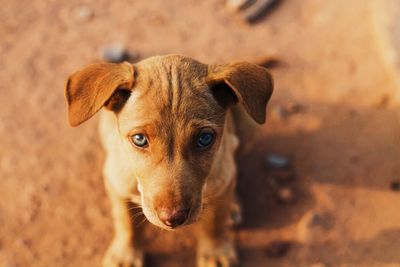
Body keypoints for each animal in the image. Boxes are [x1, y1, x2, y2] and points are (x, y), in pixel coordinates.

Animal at [65, 55, 272, 267]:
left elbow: (214, 223)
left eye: (205, 138)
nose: (173, 218)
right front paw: (126, 254)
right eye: (139, 139)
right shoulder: (116, 183)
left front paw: (215, 252)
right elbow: (126, 222)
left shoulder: (222, 174)